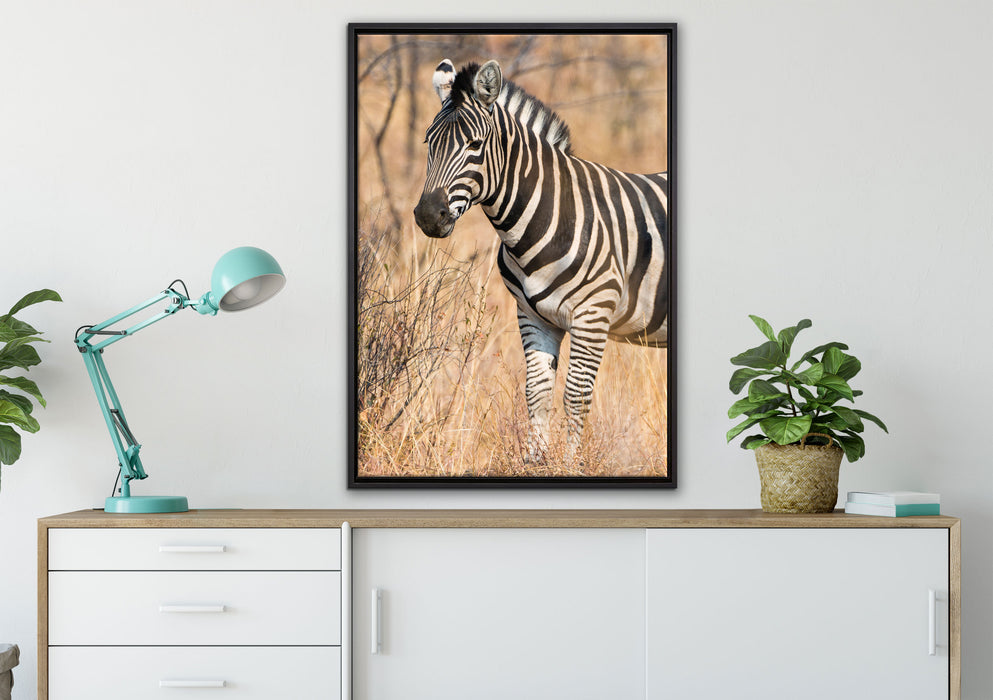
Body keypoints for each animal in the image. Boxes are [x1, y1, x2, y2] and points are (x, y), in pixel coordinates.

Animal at [413, 58, 669, 463]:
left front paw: (572, 466)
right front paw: (535, 461)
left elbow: (576, 397)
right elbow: (538, 392)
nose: (427, 216)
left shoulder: (592, 316)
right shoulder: (533, 316)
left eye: (475, 144)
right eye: (429, 142)